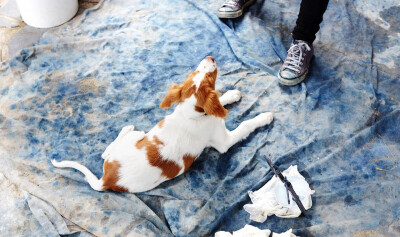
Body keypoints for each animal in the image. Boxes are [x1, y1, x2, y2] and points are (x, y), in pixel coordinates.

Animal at [51, 56, 274, 193]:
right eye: (209, 77)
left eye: (196, 74)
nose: (210, 57)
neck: (191, 114)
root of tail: (106, 180)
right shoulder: (223, 142)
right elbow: (245, 125)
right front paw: (265, 116)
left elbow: (220, 102)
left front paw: (232, 94)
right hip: (137, 137)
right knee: (110, 148)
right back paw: (127, 128)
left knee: (104, 153)